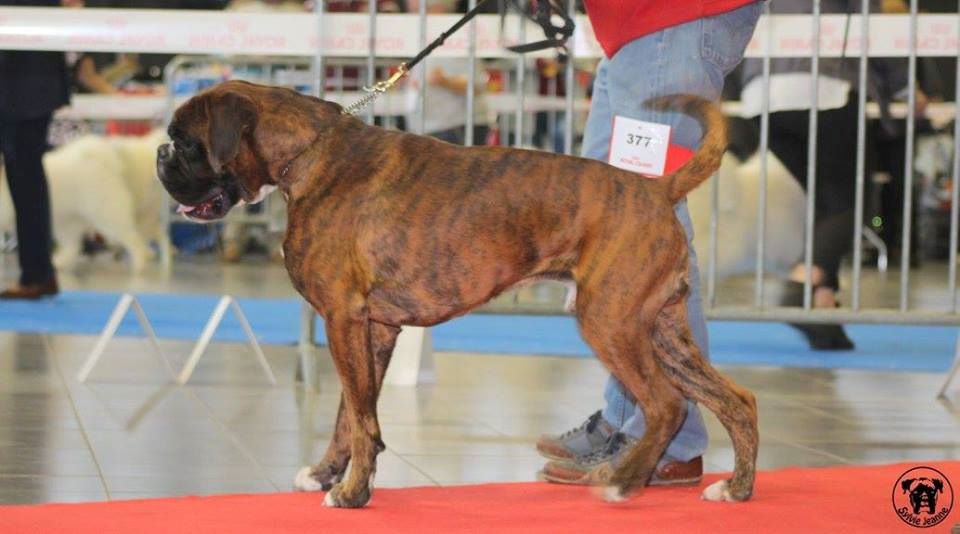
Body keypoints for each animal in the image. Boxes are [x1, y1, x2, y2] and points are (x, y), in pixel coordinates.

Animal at [0, 129, 172, 273]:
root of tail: (105, 160)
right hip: (66, 221)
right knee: (73, 245)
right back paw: (60, 263)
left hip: (106, 216)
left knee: (133, 239)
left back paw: (140, 264)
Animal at [157, 80, 759, 508]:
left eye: (186, 142)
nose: (161, 155)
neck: (309, 156)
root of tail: (655, 187)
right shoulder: (372, 328)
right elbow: (351, 415)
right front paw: (328, 476)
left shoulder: (342, 319)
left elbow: (360, 418)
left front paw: (351, 495)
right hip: (663, 331)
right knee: (736, 401)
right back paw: (735, 489)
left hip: (611, 323)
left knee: (666, 404)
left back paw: (622, 481)